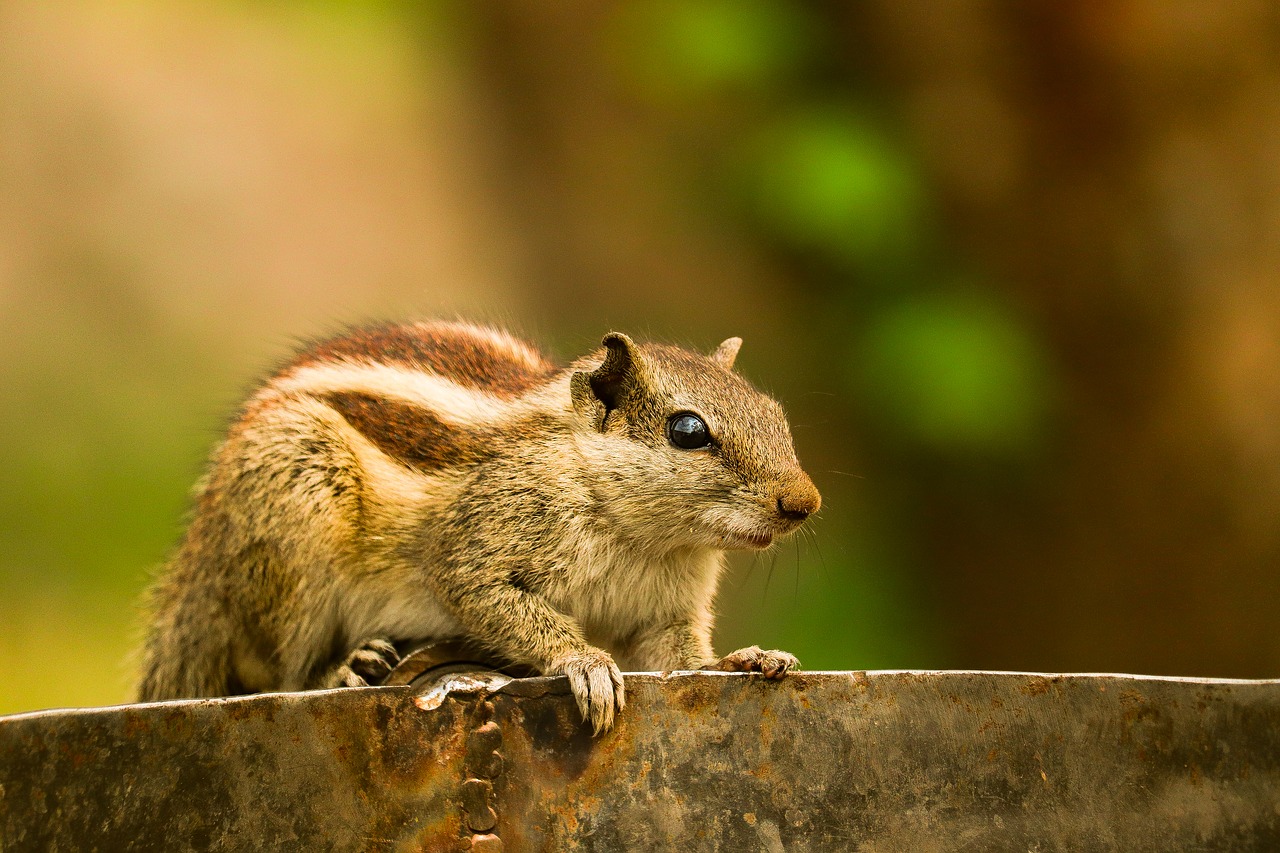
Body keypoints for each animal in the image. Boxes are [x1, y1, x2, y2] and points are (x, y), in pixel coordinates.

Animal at [135, 318, 819, 732]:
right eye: (688, 431)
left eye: (776, 415)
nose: (804, 504)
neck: (642, 536)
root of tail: (197, 568)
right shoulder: (474, 547)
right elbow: (492, 598)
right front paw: (583, 662)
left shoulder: (665, 613)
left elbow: (682, 660)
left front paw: (743, 660)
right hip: (295, 521)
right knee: (284, 672)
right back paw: (343, 670)